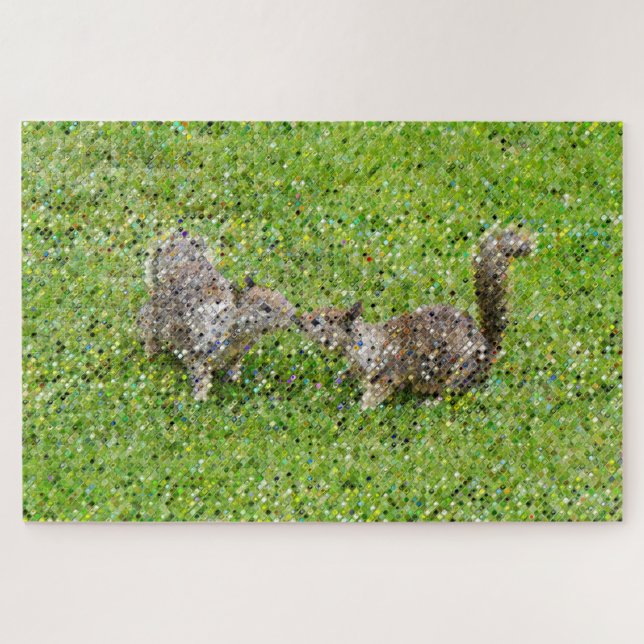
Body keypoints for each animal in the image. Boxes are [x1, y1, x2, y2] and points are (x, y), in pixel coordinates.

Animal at [297, 227, 534, 409]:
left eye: (319, 321)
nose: (299, 319)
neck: (360, 343)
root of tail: (488, 351)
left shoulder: (387, 372)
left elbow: (376, 393)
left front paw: (361, 410)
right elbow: (350, 374)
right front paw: (338, 383)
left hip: (457, 373)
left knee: (450, 394)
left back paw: (429, 403)